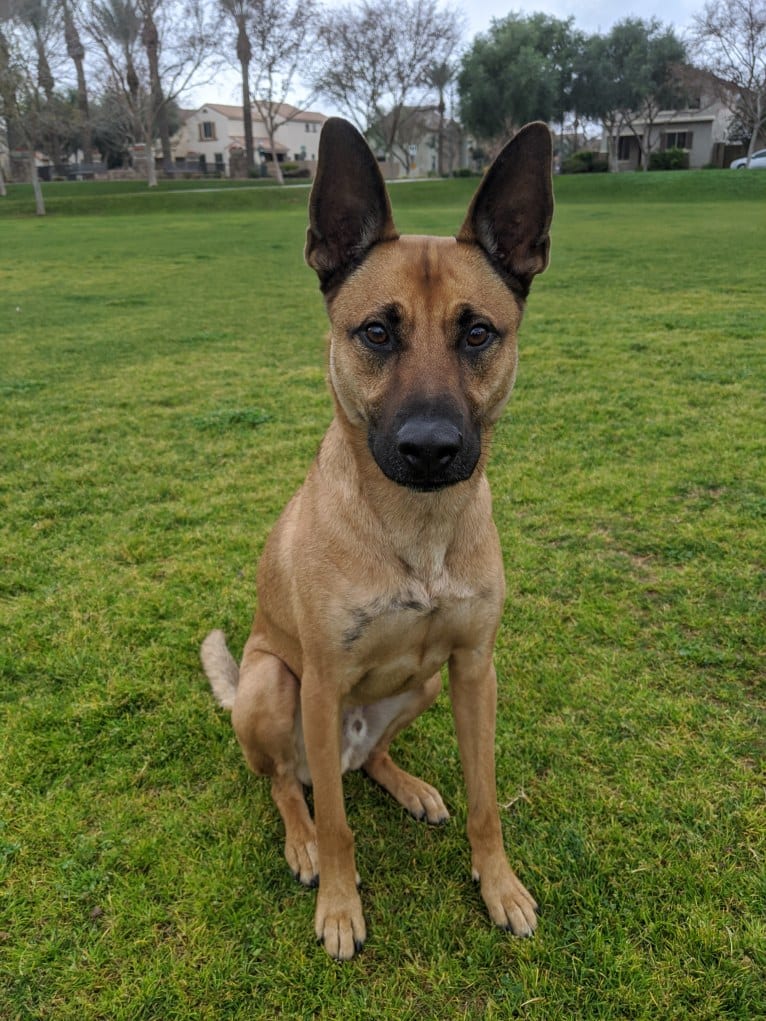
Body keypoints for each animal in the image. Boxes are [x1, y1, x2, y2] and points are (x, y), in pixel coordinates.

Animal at [202, 119, 551, 955]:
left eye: (479, 332)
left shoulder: (473, 668)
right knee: (289, 783)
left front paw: (499, 885)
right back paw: (299, 840)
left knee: (369, 762)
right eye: (377, 332)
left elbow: (487, 801)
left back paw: (409, 785)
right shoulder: (322, 681)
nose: (430, 448)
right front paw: (338, 903)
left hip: (418, 686)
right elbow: (338, 826)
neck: (416, 532)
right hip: (274, 686)